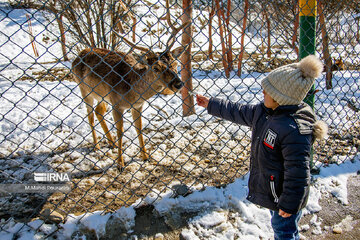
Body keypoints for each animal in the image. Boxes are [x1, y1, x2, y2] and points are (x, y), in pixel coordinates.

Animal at [71, 18, 190, 170]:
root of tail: (78, 55)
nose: (178, 84)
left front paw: (146, 156)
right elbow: (120, 131)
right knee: (90, 115)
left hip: (102, 96)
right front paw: (120, 164)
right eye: (156, 68)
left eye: (175, 63)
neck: (131, 92)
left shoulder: (137, 106)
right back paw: (97, 146)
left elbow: (139, 128)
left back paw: (111, 143)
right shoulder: (116, 104)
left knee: (98, 111)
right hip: (84, 89)